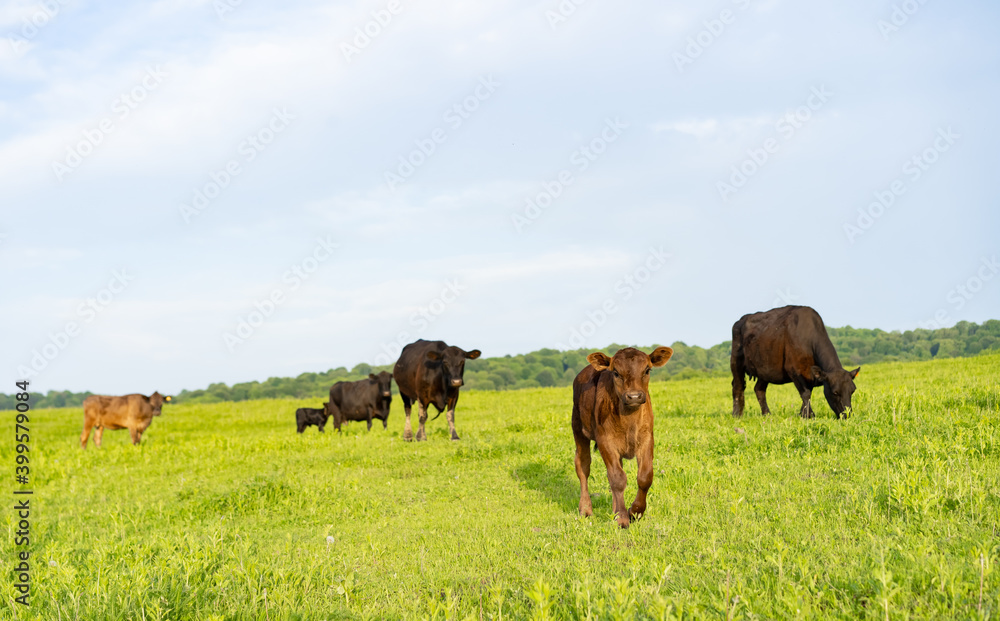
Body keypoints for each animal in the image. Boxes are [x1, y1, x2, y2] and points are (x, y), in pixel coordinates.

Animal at [572, 346, 672, 524]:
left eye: (647, 370)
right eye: (616, 372)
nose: (634, 396)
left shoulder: (647, 439)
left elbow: (645, 477)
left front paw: (634, 512)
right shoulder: (605, 441)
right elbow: (617, 479)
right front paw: (622, 519)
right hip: (578, 430)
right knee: (583, 466)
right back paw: (585, 509)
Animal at [728, 304, 860, 416]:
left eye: (852, 391)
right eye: (835, 392)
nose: (847, 415)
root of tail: (741, 320)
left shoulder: (809, 375)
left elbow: (808, 393)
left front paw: (802, 414)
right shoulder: (794, 370)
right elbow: (805, 393)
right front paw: (809, 415)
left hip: (764, 368)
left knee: (759, 389)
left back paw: (767, 414)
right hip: (736, 362)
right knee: (738, 386)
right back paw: (737, 414)